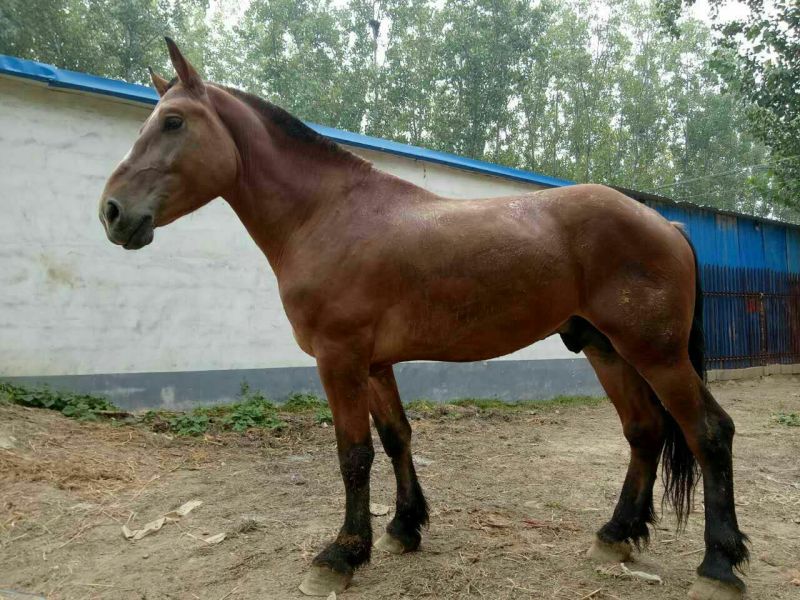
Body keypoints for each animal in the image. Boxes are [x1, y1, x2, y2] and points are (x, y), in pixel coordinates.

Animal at [97, 38, 749, 599]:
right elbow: (395, 437)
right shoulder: (374, 362)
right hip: (606, 349)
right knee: (644, 430)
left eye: (173, 122)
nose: (112, 213)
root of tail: (666, 223)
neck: (328, 216)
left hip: (655, 354)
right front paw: (403, 528)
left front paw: (340, 556)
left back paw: (718, 565)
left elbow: (353, 453)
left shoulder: (339, 359)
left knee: (709, 432)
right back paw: (616, 535)